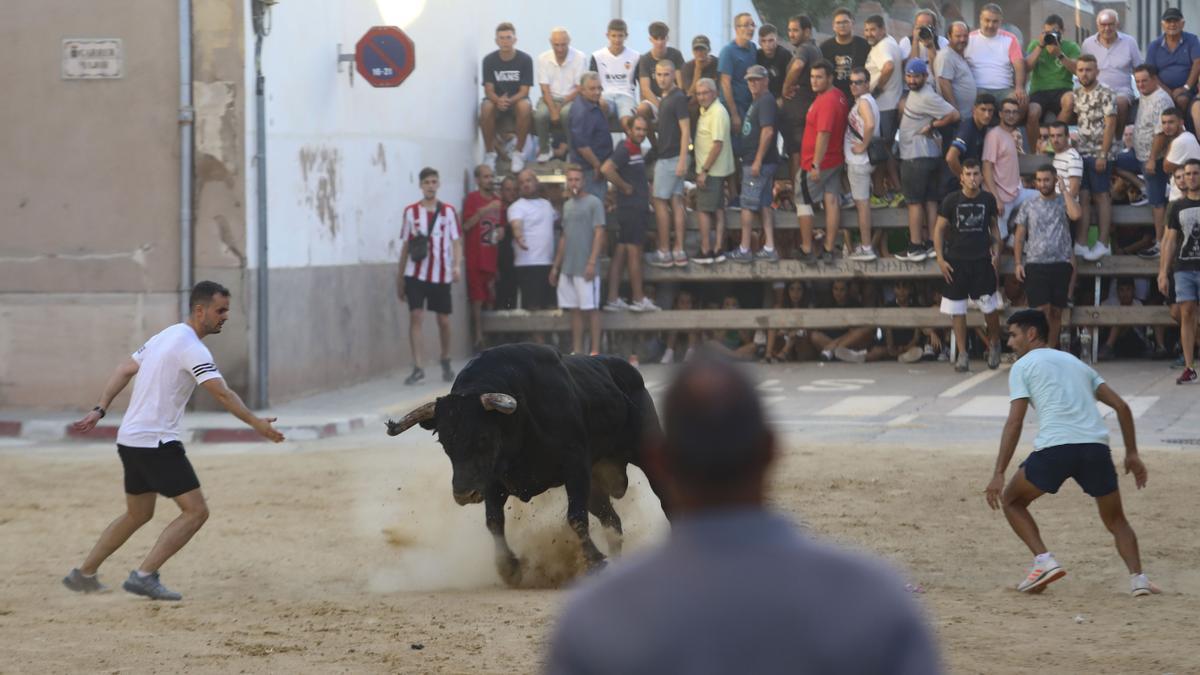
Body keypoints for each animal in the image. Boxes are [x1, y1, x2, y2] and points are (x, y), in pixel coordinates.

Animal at [384, 343, 672, 581]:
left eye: (483, 436)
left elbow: (575, 518)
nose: (464, 494)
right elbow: (493, 521)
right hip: (595, 485)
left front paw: (594, 562)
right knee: (612, 521)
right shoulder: (494, 481)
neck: (518, 420)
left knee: (664, 498)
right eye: (444, 441)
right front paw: (509, 568)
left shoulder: (575, 466)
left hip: (646, 453)